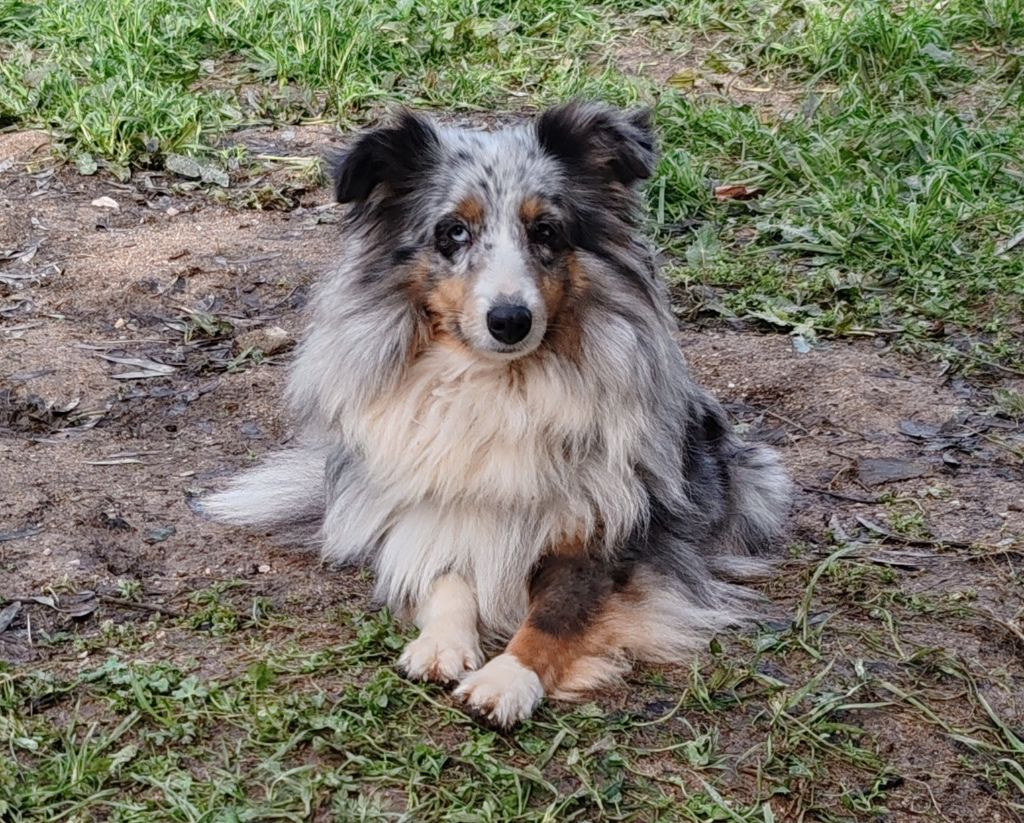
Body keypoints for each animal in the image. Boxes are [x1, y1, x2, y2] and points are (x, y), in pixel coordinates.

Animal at [201, 101, 790, 724]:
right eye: (453, 232)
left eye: (546, 231)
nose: (510, 320)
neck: (499, 385)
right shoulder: (440, 505)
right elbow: (447, 572)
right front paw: (442, 643)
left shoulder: (608, 537)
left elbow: (556, 615)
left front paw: (507, 678)